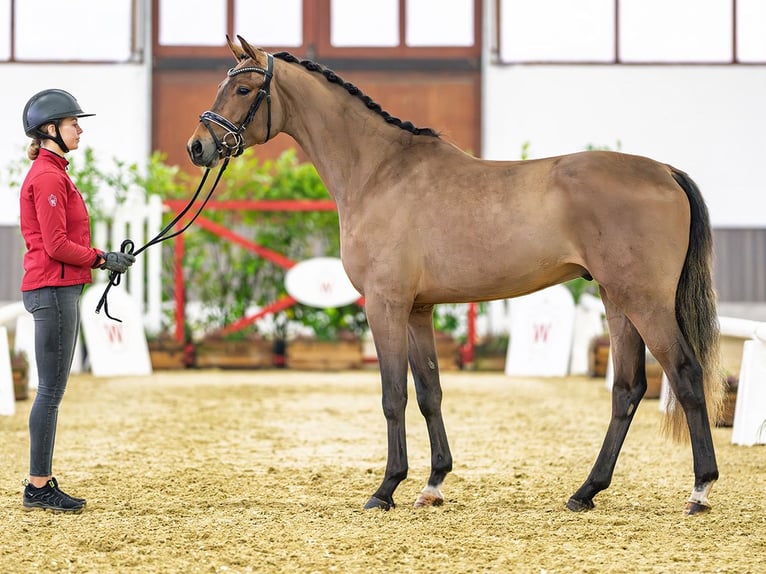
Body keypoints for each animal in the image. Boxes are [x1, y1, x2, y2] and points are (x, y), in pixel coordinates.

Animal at [186, 37, 728, 516]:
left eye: (242, 88)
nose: (198, 146)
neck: (379, 173)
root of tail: (664, 171)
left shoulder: (384, 304)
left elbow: (393, 395)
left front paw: (386, 489)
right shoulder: (418, 309)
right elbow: (430, 392)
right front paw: (433, 484)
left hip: (645, 301)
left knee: (684, 374)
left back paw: (699, 490)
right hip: (618, 301)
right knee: (627, 388)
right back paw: (586, 492)